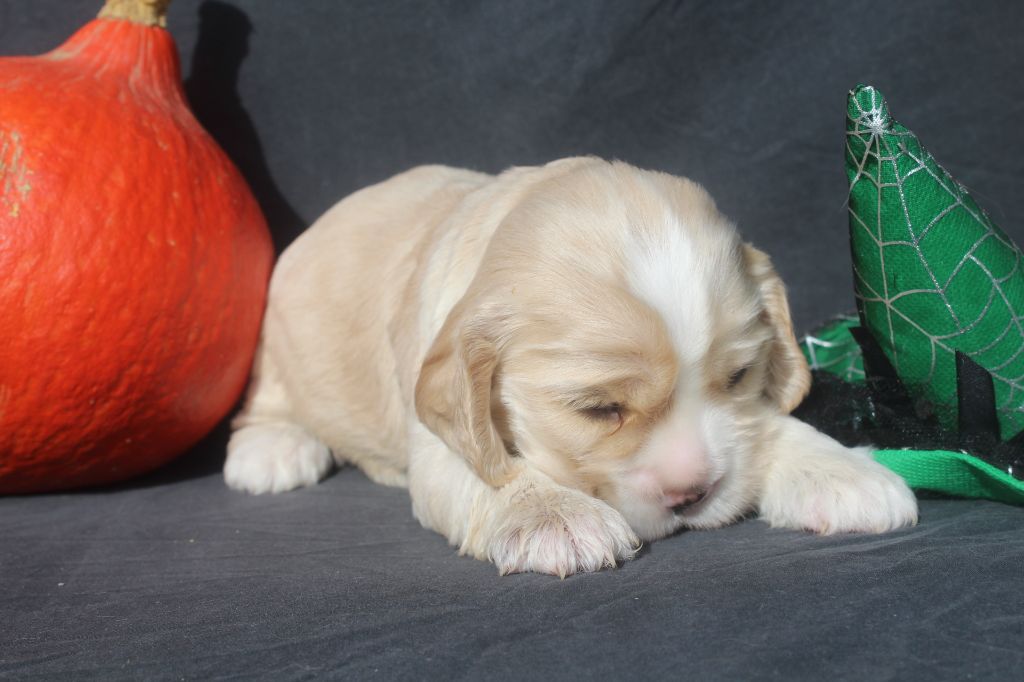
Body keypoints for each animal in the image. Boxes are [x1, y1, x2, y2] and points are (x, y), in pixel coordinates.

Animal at [226, 155, 921, 573]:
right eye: (598, 409)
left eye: (738, 378)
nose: (693, 494)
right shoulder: (438, 435)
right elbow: (492, 472)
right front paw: (554, 515)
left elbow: (768, 425)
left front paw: (839, 471)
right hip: (275, 329)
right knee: (268, 401)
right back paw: (273, 450)